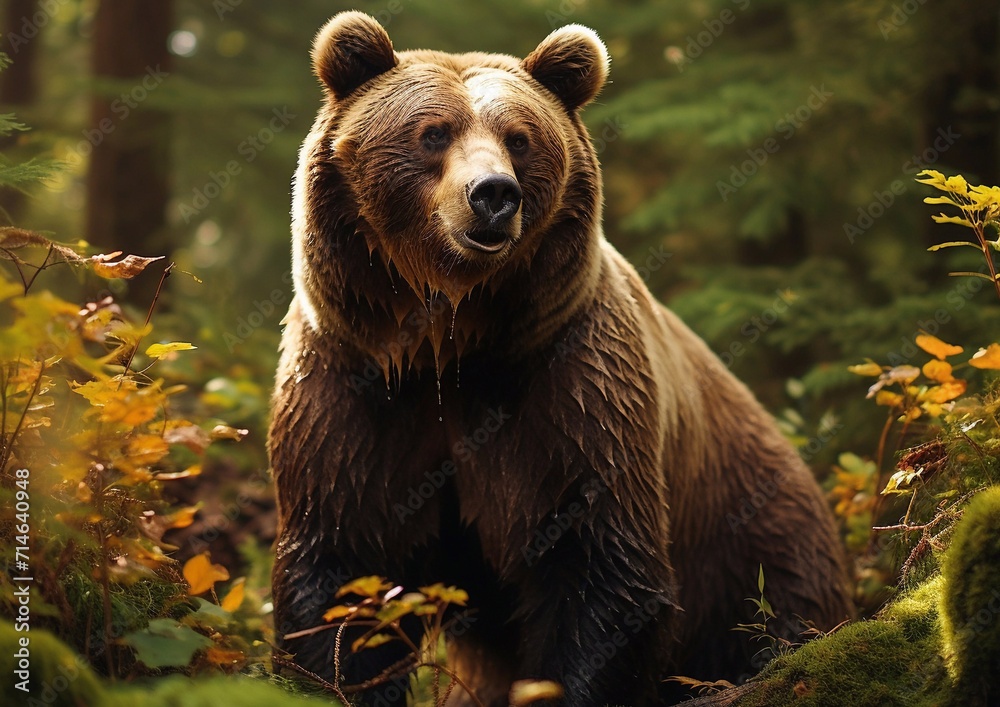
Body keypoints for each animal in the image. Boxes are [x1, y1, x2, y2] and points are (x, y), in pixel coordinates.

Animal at [269, 11, 852, 707]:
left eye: (519, 139)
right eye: (432, 132)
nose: (493, 194)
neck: (450, 348)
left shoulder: (571, 386)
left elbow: (597, 565)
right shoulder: (352, 388)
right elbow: (339, 569)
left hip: (754, 539)